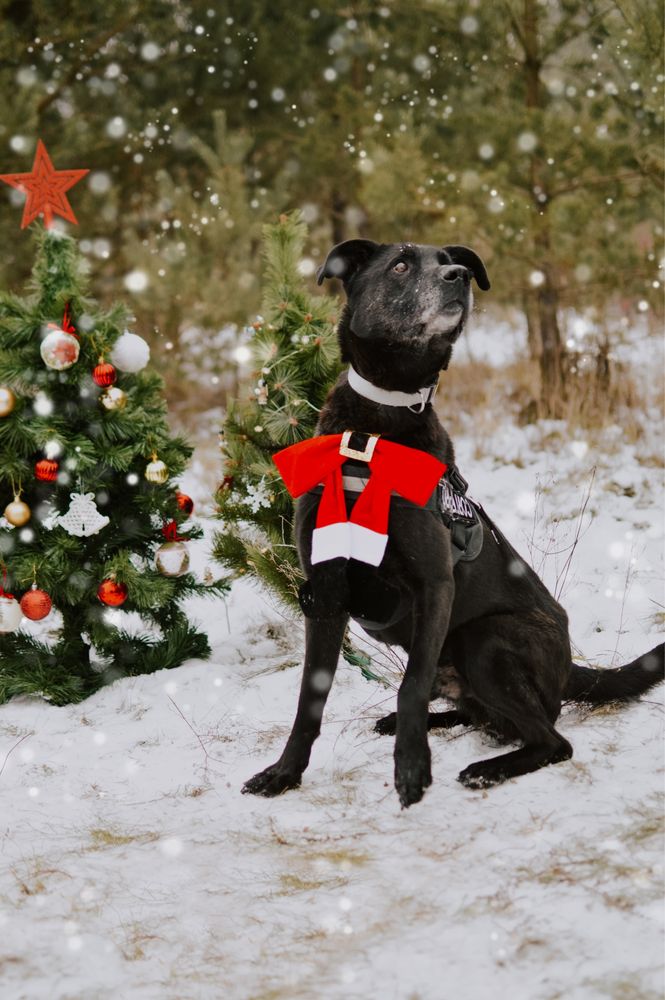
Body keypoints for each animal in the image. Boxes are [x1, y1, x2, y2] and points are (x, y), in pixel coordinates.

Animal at [241, 238, 660, 808]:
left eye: (448, 260)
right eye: (400, 264)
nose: (459, 275)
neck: (375, 430)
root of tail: (569, 667)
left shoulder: (434, 584)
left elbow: (411, 683)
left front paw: (412, 768)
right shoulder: (325, 590)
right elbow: (310, 698)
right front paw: (284, 773)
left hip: (484, 639)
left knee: (551, 739)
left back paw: (485, 767)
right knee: (484, 717)